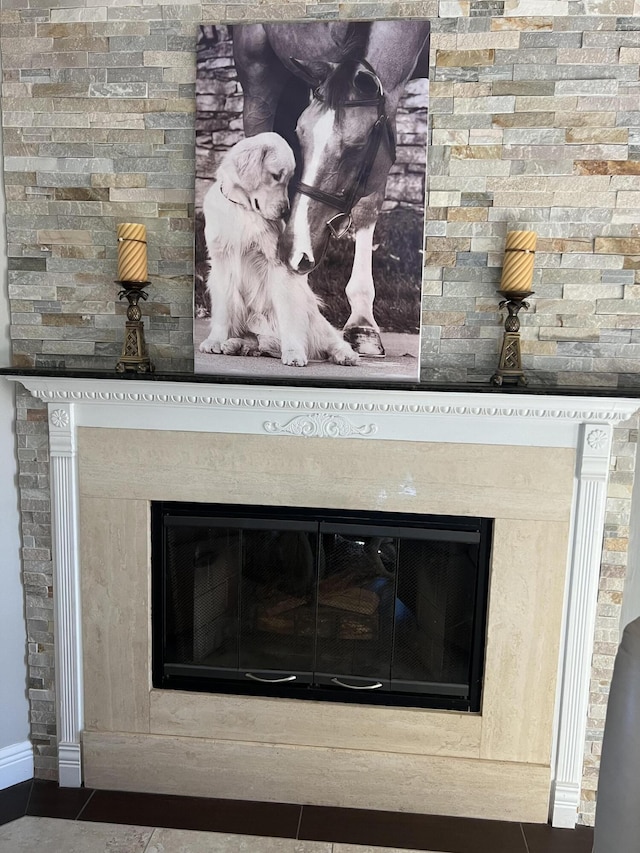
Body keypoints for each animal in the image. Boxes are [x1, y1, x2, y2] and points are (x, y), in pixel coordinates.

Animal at [199, 131, 358, 366]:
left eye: (289, 179)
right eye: (275, 176)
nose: (285, 212)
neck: (244, 210)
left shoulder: (279, 265)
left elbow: (288, 316)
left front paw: (293, 352)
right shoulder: (221, 263)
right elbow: (222, 309)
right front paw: (216, 340)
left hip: (312, 313)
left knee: (329, 339)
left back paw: (345, 354)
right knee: (261, 343)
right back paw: (237, 344)